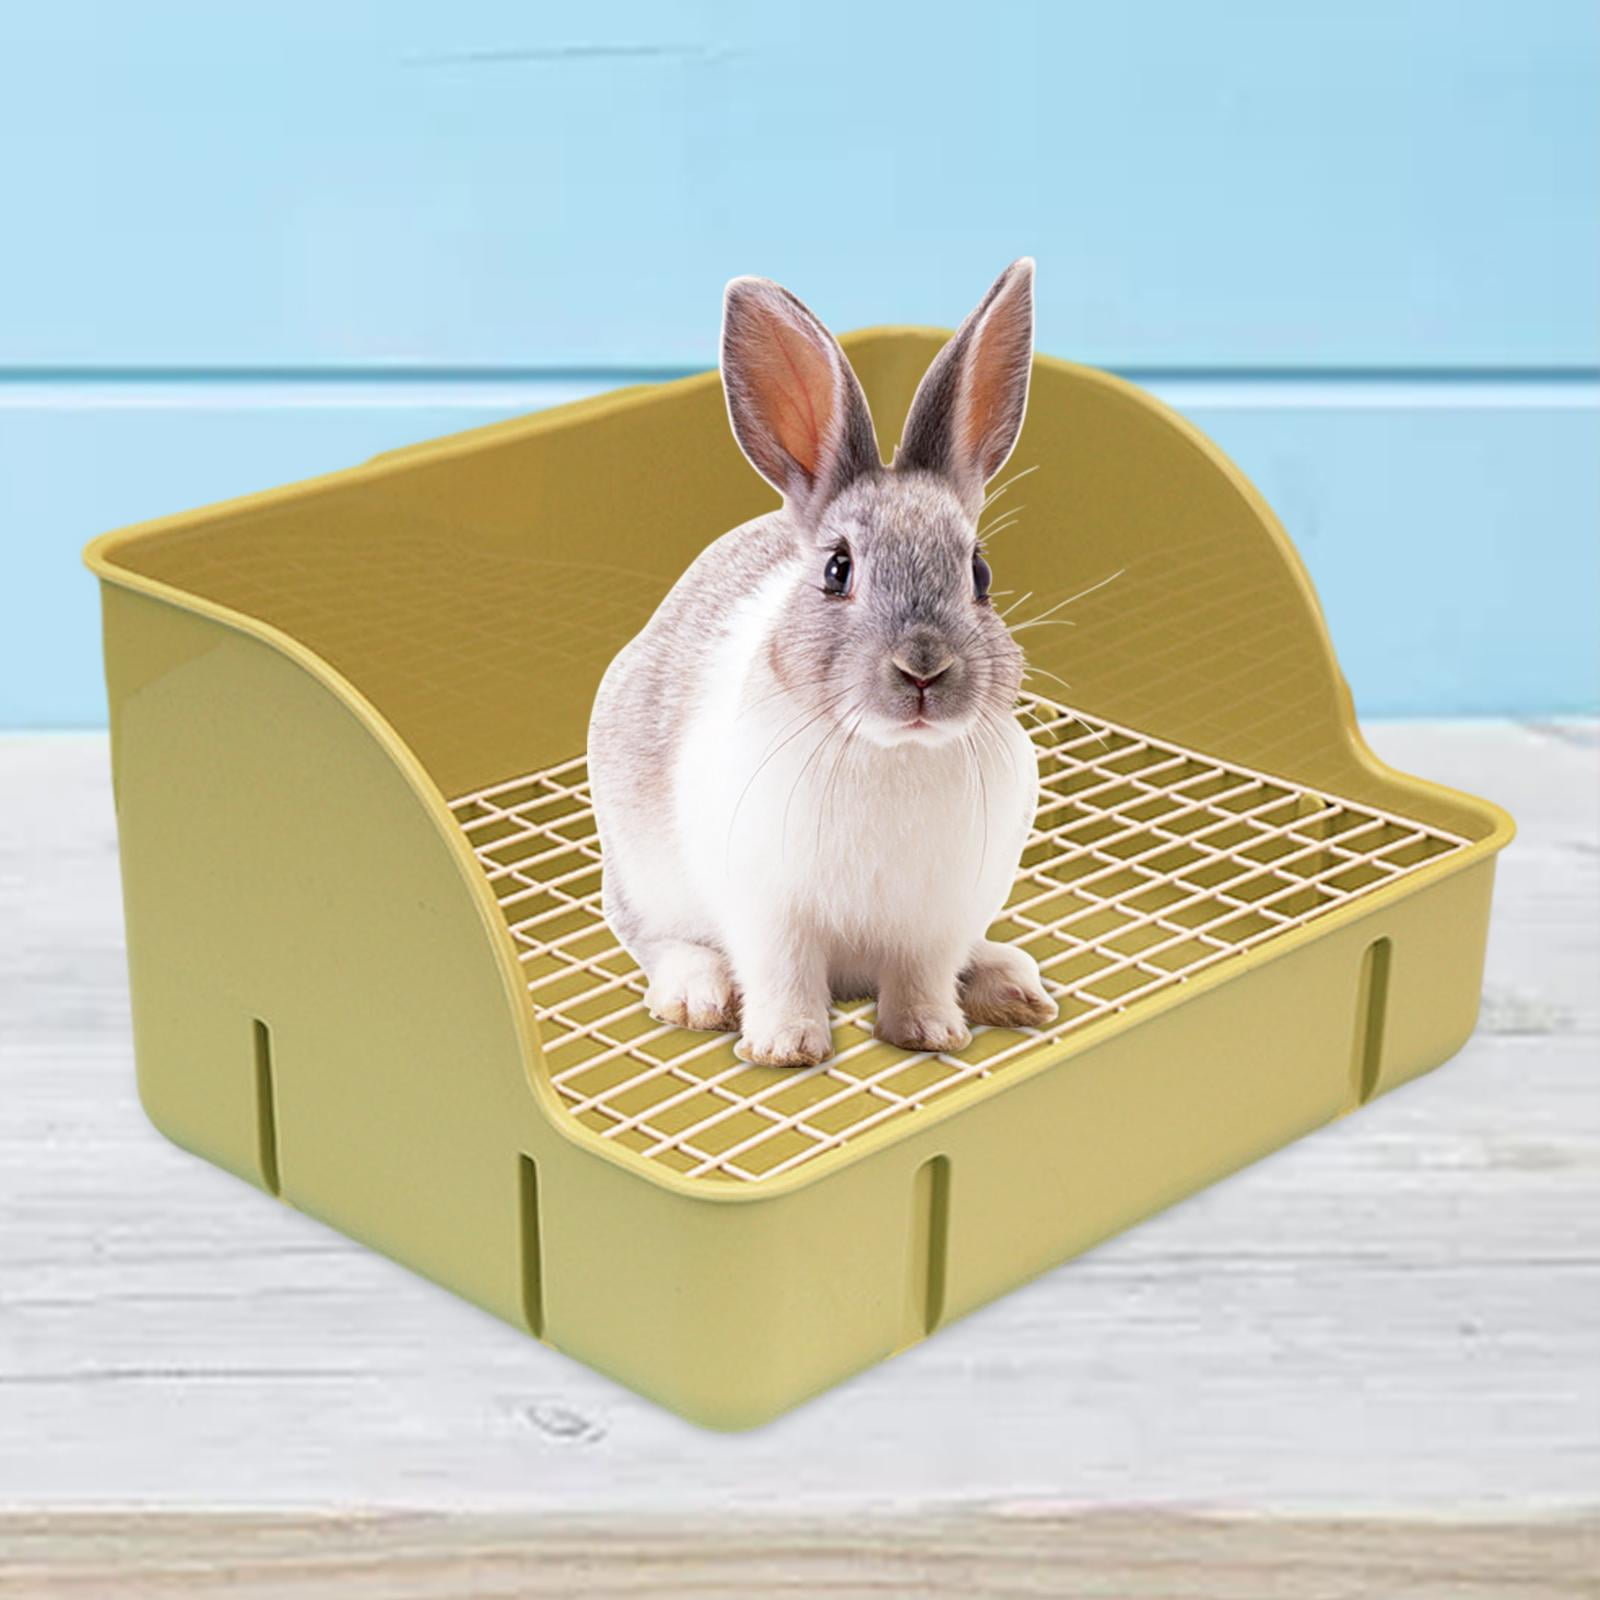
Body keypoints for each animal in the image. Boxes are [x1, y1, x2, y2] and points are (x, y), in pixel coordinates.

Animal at [587, 260, 1057, 1068]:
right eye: (838, 570)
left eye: (980, 573)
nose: (923, 669)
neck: (892, 752)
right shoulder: (768, 910)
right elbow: (783, 975)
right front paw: (785, 1048)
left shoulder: (936, 918)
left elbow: (923, 977)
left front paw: (931, 1034)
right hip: (642, 876)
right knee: (655, 939)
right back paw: (697, 996)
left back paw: (1012, 987)